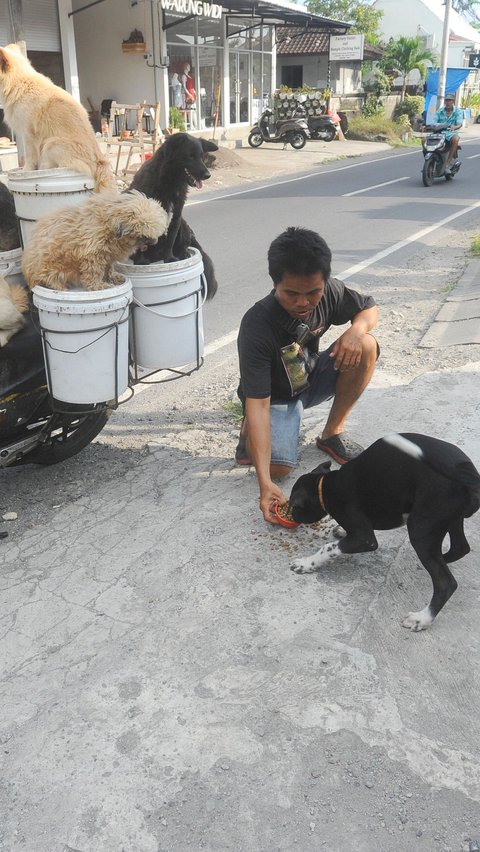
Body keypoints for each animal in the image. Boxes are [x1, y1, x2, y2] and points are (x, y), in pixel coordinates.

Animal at [0, 43, 115, 191]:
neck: (19, 82)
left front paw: (26, 171)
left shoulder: (28, 134)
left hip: (51, 143)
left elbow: (30, 157)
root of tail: (99, 162)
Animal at [24, 191, 172, 292]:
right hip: (53, 265)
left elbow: (108, 268)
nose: (151, 242)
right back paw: (58, 286)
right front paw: (98, 285)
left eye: (152, 234)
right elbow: (94, 272)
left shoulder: (108, 255)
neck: (109, 224)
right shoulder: (92, 253)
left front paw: (112, 278)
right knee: (48, 278)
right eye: (141, 235)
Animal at [127, 132, 218, 300]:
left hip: (184, 224)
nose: (208, 175)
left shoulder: (176, 216)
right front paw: (140, 260)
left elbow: (170, 239)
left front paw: (169, 258)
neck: (169, 182)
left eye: (201, 156)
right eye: (190, 156)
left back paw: (183, 253)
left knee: (182, 243)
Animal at [286, 436, 478, 628]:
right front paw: (341, 531)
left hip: (420, 529)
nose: (292, 515)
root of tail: (467, 474)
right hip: (451, 519)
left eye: (295, 507)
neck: (326, 486)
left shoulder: (365, 538)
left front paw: (306, 563)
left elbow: (329, 548)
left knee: (446, 583)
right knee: (460, 548)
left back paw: (422, 618)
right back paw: (441, 560)